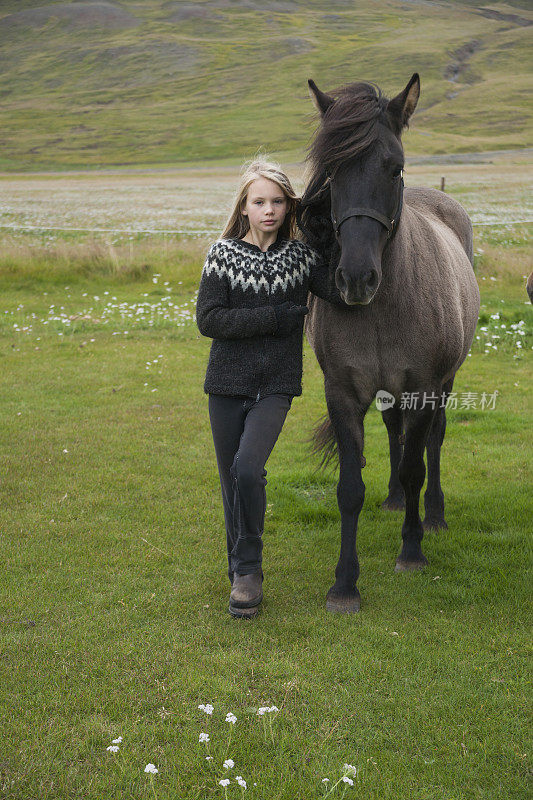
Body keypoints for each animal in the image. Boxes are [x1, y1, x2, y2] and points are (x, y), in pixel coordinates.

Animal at [300, 75, 478, 612]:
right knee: (395, 432)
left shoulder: (423, 388)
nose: (357, 278)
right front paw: (344, 584)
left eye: (394, 165)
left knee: (433, 441)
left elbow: (418, 465)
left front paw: (412, 550)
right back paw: (396, 499)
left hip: (443, 385)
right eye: (332, 170)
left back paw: (432, 514)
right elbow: (350, 488)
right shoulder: (343, 394)